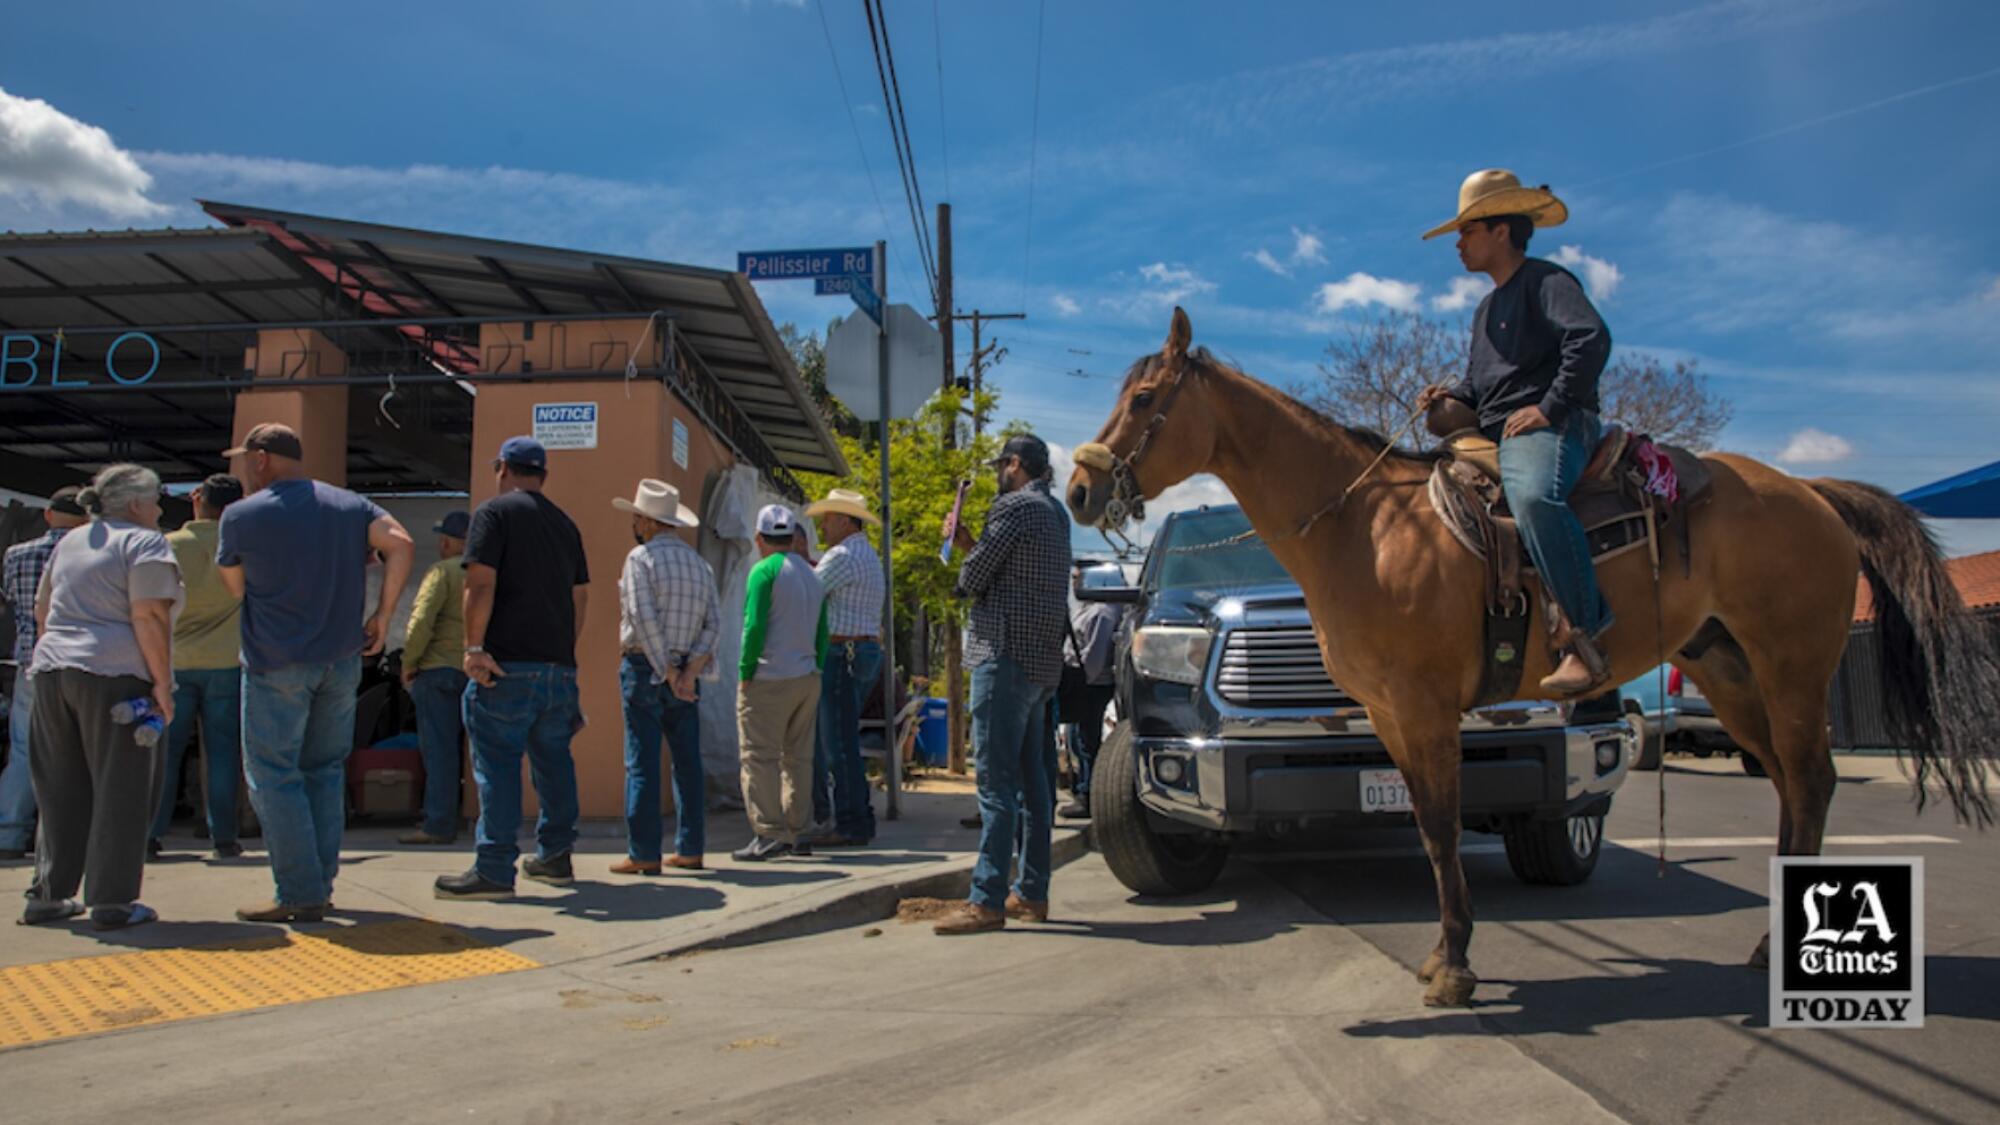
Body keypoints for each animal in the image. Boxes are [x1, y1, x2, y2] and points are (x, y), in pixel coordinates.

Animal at [1072, 306, 1992, 1008]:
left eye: (1144, 397)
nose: (1081, 489)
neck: (1364, 529)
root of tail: (1815, 494)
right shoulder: (1387, 713)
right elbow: (1429, 826)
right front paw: (1446, 956)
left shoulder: (1426, 707)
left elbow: (1442, 826)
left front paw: (1454, 967)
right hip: (1732, 673)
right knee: (1794, 786)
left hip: (1791, 666)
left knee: (1811, 780)